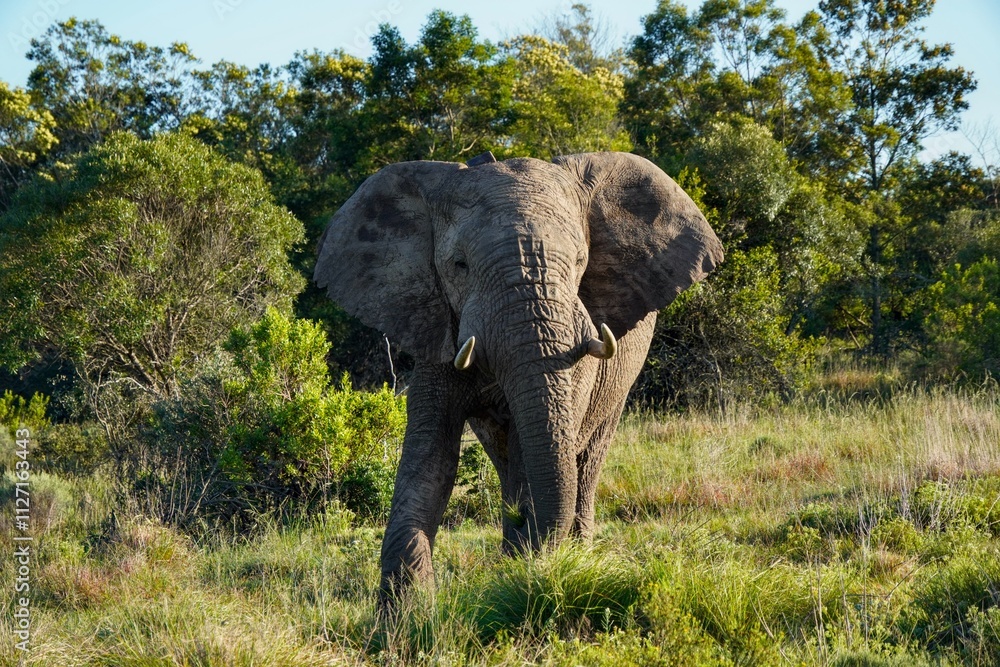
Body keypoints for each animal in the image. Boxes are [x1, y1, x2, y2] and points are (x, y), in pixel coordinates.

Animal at [314, 151, 723, 604]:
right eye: (460, 265)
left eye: (579, 261)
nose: (525, 527)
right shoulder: (436, 326)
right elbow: (431, 457)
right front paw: (407, 611)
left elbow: (543, 448)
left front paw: (530, 570)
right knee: (507, 455)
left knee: (585, 459)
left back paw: (569, 551)